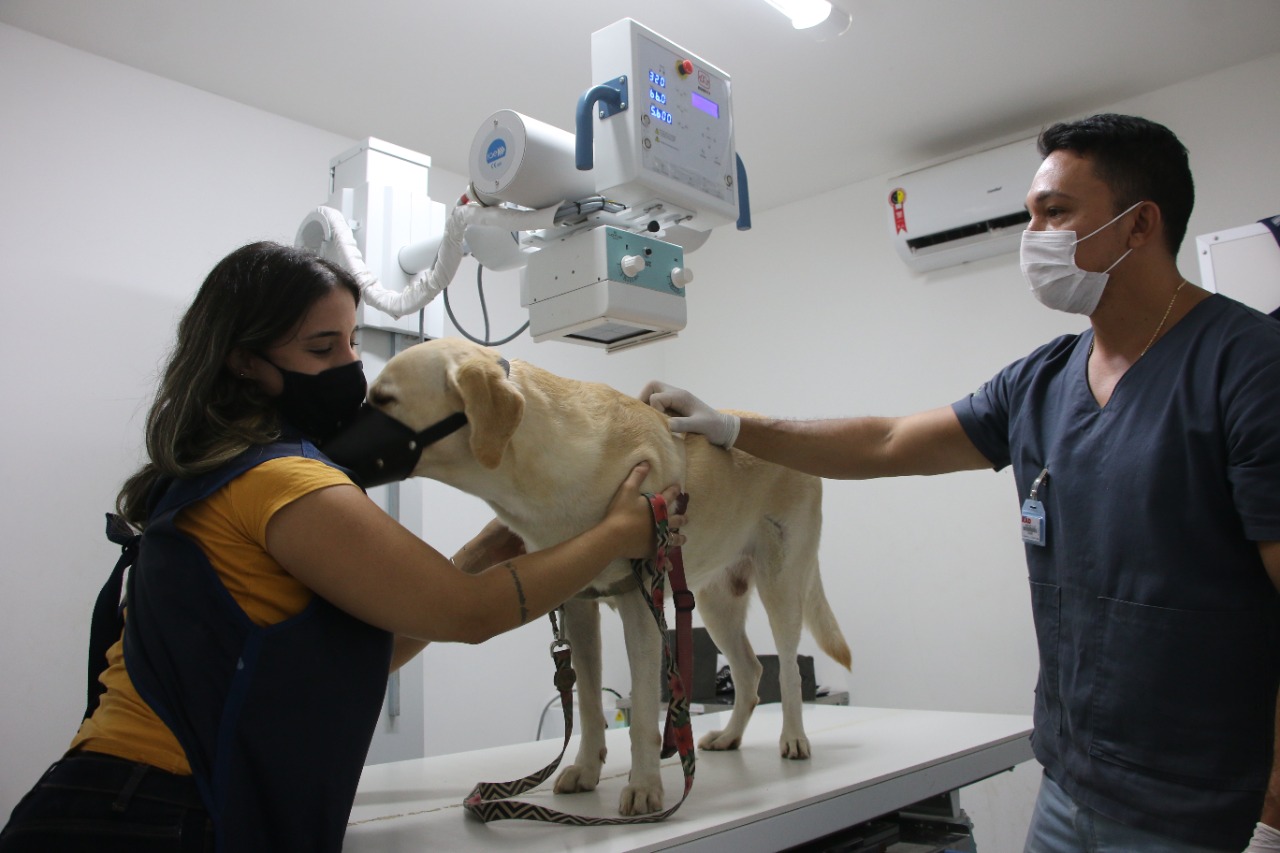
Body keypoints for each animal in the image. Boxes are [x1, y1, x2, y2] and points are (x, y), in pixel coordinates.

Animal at [371, 335, 849, 814]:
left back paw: (794, 738)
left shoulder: (641, 604)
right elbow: (586, 703)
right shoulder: (578, 606)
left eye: (383, 399)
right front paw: (586, 769)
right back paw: (730, 736)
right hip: (716, 604)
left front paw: (645, 787)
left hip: (781, 586)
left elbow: (642, 714)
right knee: (751, 671)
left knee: (787, 669)